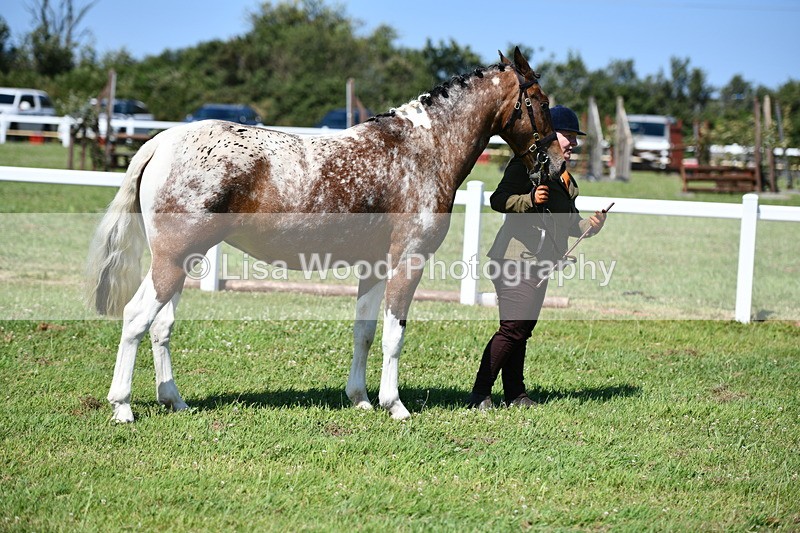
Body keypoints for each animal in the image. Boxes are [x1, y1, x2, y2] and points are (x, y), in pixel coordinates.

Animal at [87, 47, 565, 422]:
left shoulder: (374, 267)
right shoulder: (407, 262)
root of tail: (161, 142)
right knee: (136, 318)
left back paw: (174, 401)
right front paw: (395, 405)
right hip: (172, 261)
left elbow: (365, 332)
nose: (558, 163)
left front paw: (361, 399)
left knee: (161, 325)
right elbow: (394, 334)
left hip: (186, 261)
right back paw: (122, 407)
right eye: (540, 102)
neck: (420, 151)